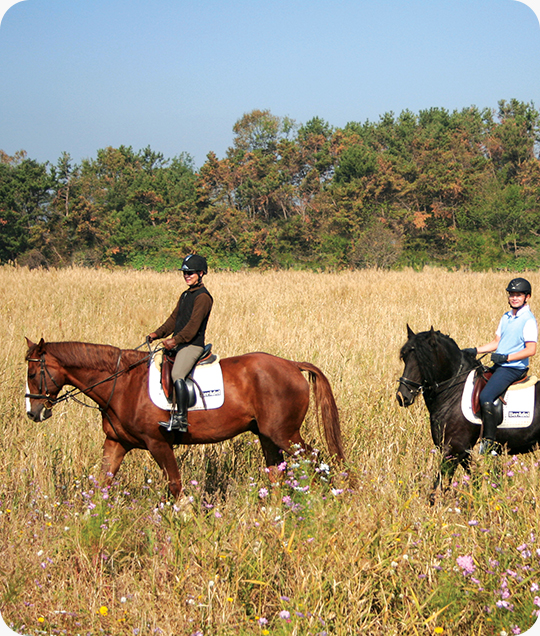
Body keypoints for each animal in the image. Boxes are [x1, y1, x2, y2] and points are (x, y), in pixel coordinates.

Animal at [25, 338, 345, 499]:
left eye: (33, 373)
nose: (33, 412)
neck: (122, 385)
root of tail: (291, 365)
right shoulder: (116, 442)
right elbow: (101, 483)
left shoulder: (158, 443)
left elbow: (175, 485)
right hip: (266, 435)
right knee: (276, 471)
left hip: (285, 434)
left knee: (315, 461)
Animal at [396, 326, 540, 502]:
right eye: (404, 358)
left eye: (424, 361)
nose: (402, 396)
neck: (453, 391)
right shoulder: (463, 452)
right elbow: (476, 480)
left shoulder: (454, 449)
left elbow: (437, 490)